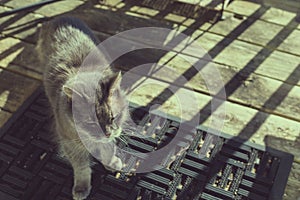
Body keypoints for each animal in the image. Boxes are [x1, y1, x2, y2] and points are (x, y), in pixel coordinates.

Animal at [36, 16, 127, 199]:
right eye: (91, 122)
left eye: (113, 117)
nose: (107, 133)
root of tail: (58, 18)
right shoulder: (70, 143)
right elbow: (82, 168)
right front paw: (81, 187)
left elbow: (107, 150)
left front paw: (110, 161)